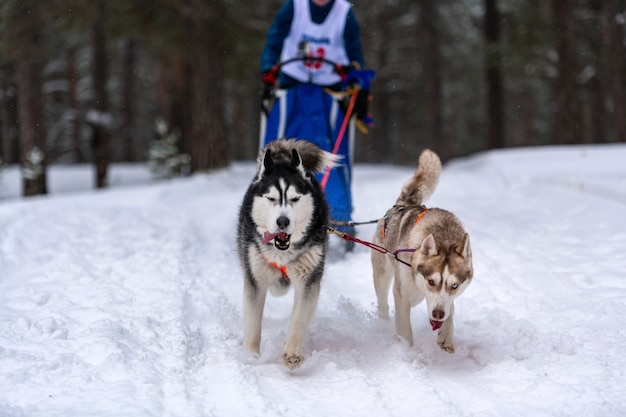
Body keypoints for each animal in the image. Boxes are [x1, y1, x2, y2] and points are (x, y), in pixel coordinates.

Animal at [238, 138, 336, 368]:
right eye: (271, 198)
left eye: (295, 198)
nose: (283, 221)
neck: (281, 251)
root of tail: (282, 159)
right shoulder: (255, 278)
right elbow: (253, 322)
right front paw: (250, 356)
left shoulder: (309, 280)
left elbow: (299, 318)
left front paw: (292, 353)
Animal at [370, 149, 468, 352]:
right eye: (431, 281)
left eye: (455, 285)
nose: (438, 314)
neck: (442, 235)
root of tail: (402, 204)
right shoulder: (402, 292)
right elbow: (405, 327)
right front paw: (405, 350)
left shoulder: (445, 300)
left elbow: (451, 308)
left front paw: (446, 335)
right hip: (382, 274)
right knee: (383, 303)